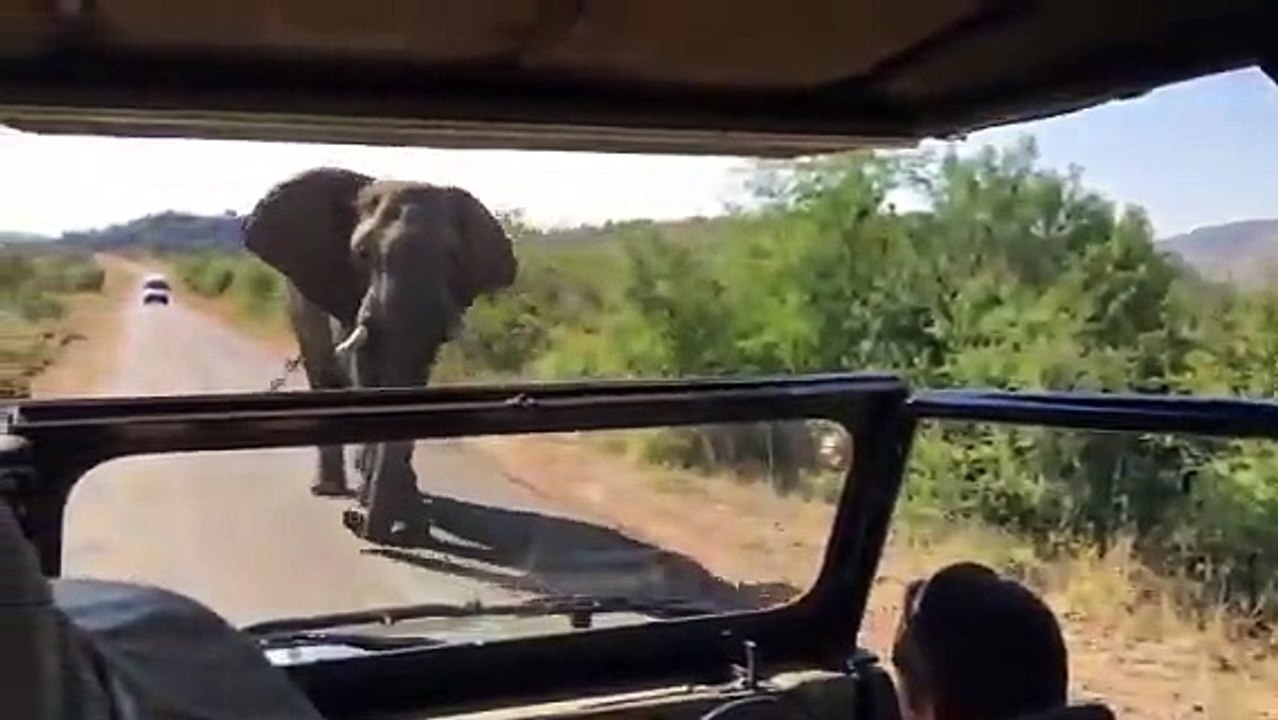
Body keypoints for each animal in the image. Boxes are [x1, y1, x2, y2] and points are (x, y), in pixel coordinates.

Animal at [243, 166, 518, 544]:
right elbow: (360, 370)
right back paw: (330, 489)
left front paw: (404, 511)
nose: (354, 520)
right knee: (323, 378)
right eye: (362, 254)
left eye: (452, 257)